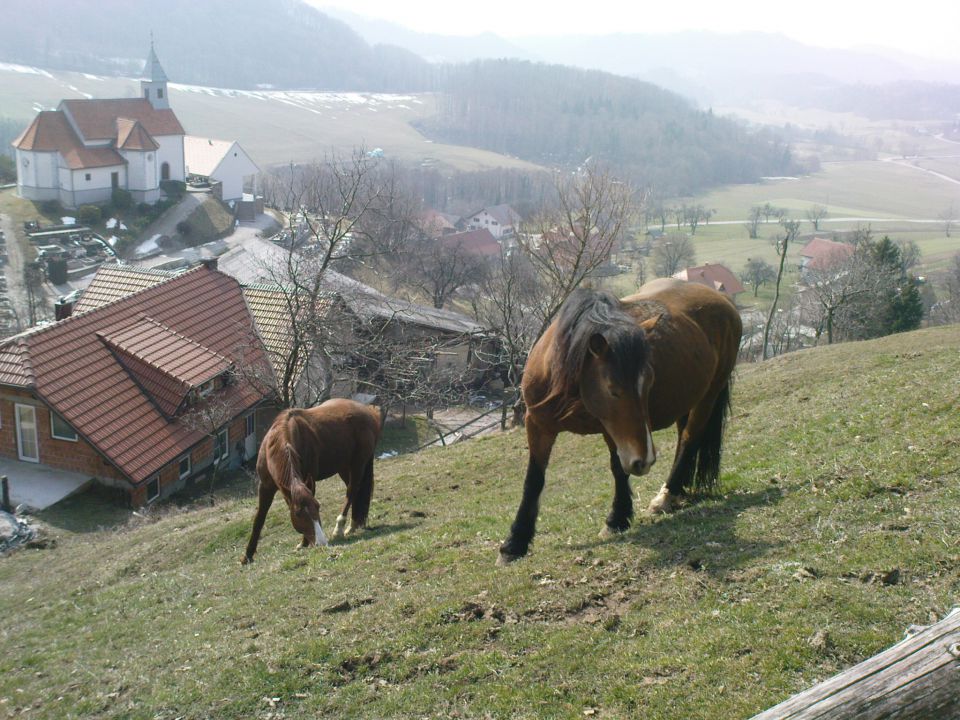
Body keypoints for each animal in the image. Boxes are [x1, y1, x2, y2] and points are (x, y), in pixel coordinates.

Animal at [240, 400, 382, 564]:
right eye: (298, 513)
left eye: (318, 506)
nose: (321, 543)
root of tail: (369, 412)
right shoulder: (265, 487)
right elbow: (259, 519)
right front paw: (247, 556)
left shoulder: (309, 481)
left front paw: (304, 543)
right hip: (344, 467)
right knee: (356, 491)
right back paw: (355, 524)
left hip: (358, 464)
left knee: (352, 491)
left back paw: (340, 528)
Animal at [498, 278, 740, 564]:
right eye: (613, 390)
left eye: (649, 383)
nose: (646, 460)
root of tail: (722, 300)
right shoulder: (538, 425)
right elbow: (534, 479)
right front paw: (515, 543)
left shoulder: (614, 430)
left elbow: (618, 467)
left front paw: (617, 519)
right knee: (684, 437)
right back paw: (677, 492)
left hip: (709, 395)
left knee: (691, 440)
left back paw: (666, 496)